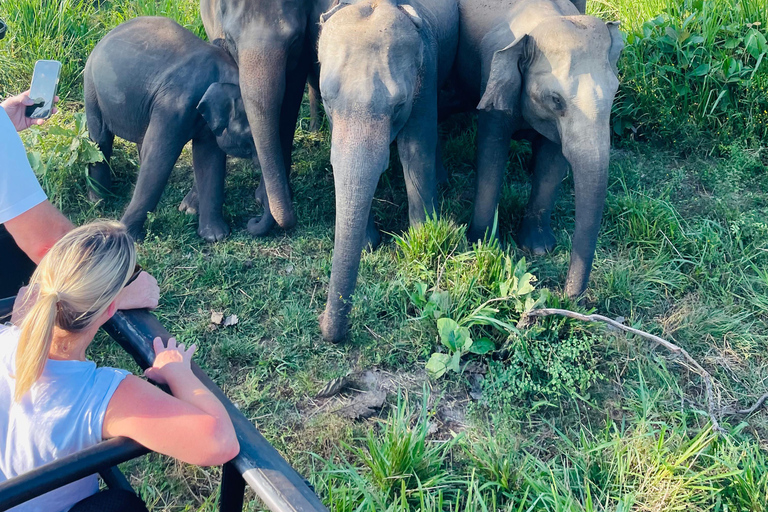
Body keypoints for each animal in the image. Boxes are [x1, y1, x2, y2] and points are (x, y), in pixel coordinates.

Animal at [84, 18, 256, 242]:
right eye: (250, 138)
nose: (253, 221)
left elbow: (210, 158)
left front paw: (215, 236)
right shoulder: (172, 107)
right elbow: (160, 159)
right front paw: (127, 235)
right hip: (92, 89)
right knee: (100, 139)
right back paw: (98, 202)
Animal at [316, 1, 460, 344]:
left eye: (398, 105)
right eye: (326, 99)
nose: (323, 325)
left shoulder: (426, 71)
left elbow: (416, 150)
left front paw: (421, 238)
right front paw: (369, 244)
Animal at [450, 0, 624, 296]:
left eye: (615, 91)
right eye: (555, 99)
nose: (568, 297)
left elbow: (551, 162)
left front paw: (538, 249)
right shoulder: (492, 76)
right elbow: (491, 154)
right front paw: (483, 245)